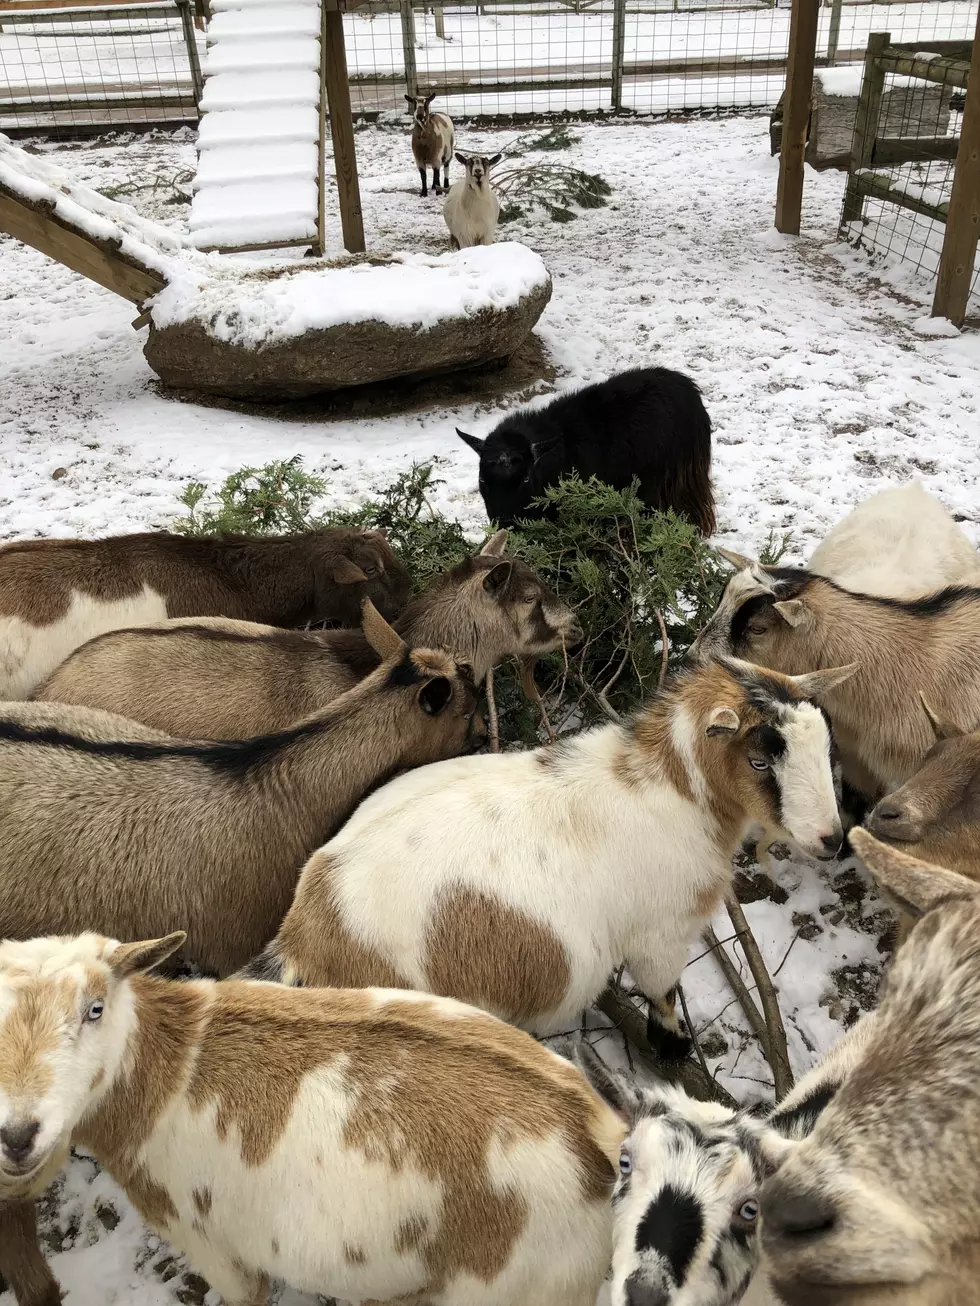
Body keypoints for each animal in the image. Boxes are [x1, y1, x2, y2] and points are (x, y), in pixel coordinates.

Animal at [244, 657, 853, 1056]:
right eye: (759, 761)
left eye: (825, 744)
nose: (832, 839)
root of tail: (308, 930)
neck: (666, 788)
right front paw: (675, 1045)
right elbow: (662, 993)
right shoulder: (660, 932)